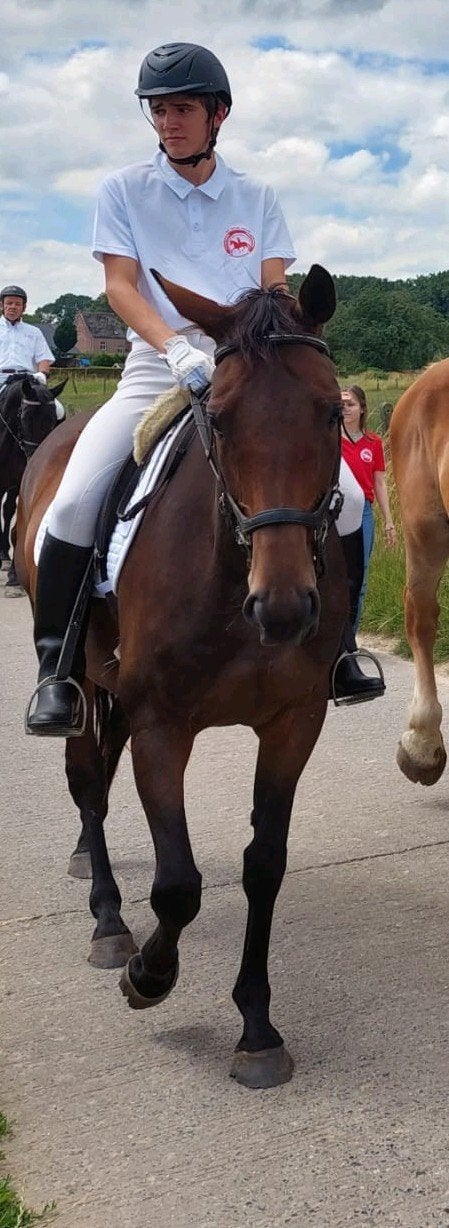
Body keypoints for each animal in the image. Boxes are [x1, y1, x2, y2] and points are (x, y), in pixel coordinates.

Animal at [16, 265, 349, 1089]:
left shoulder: (293, 723)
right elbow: (177, 884)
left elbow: (264, 866)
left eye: (333, 413)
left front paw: (257, 1028)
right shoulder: (162, 726)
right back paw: (108, 923)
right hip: (86, 689)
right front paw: (149, 974)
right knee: (87, 788)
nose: (284, 606)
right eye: (219, 420)